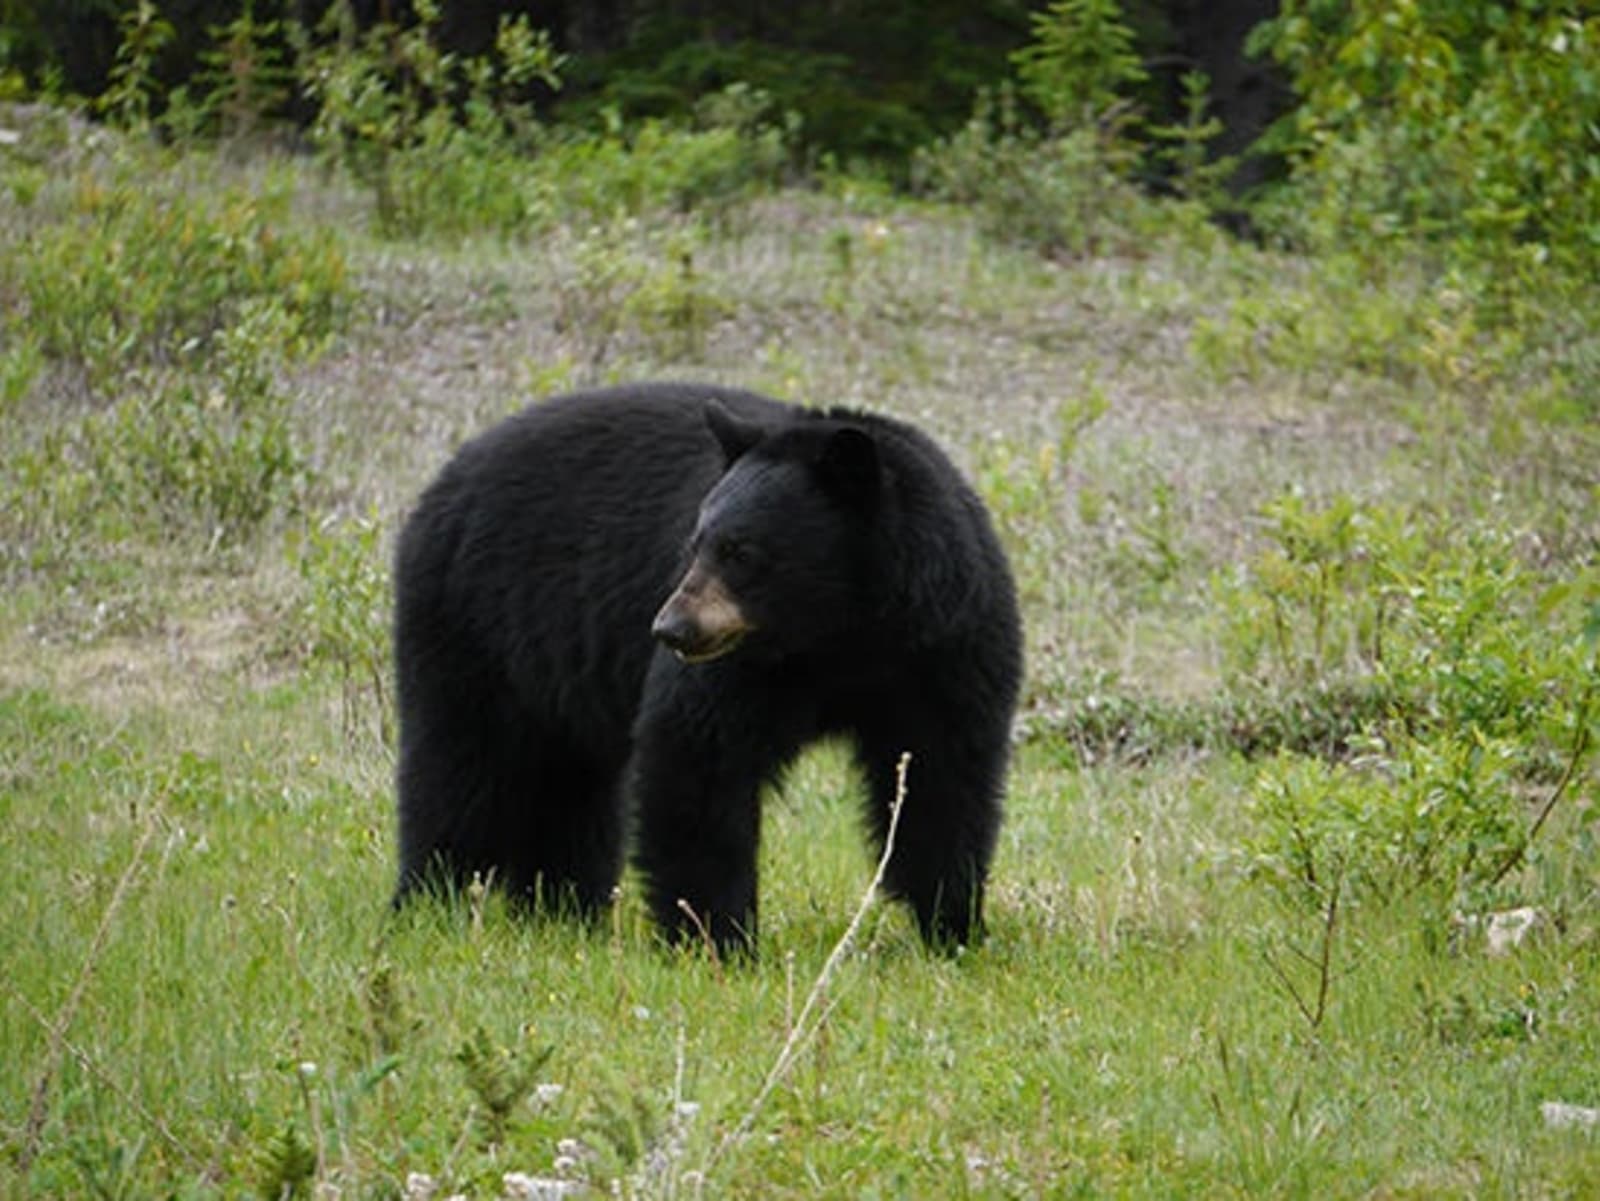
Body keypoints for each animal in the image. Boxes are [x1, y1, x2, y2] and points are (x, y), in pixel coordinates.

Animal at [392, 382, 1022, 955]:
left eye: (741, 551)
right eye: (695, 543)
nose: (670, 628)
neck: (841, 636)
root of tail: (445, 480)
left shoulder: (947, 648)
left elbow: (944, 775)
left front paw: (953, 929)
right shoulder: (741, 670)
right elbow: (698, 756)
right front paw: (716, 938)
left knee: (569, 786)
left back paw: (562, 909)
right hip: (474, 624)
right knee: (460, 771)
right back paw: (429, 902)